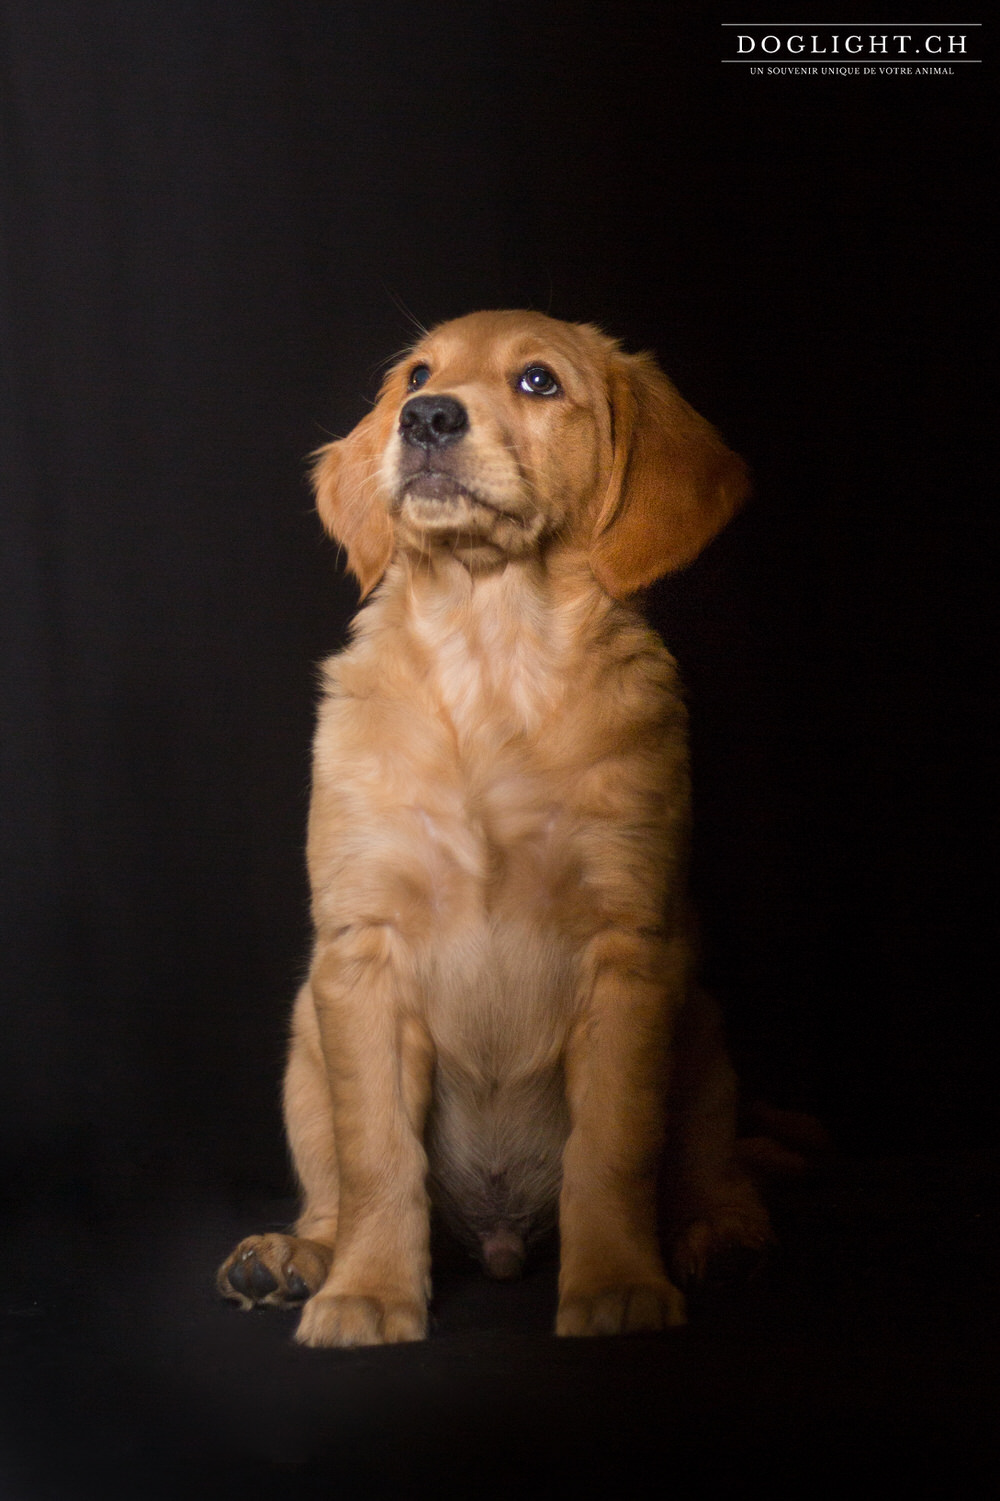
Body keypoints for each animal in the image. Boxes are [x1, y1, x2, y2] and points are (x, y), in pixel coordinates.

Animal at [217, 310, 768, 1344]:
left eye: (539, 381)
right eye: (415, 376)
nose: (427, 417)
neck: (488, 653)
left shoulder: (630, 949)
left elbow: (613, 1149)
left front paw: (616, 1284)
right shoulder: (360, 952)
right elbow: (376, 1153)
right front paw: (367, 1292)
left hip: (707, 1037)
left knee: (710, 1172)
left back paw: (717, 1236)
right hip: (305, 1039)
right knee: (330, 1186)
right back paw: (297, 1255)